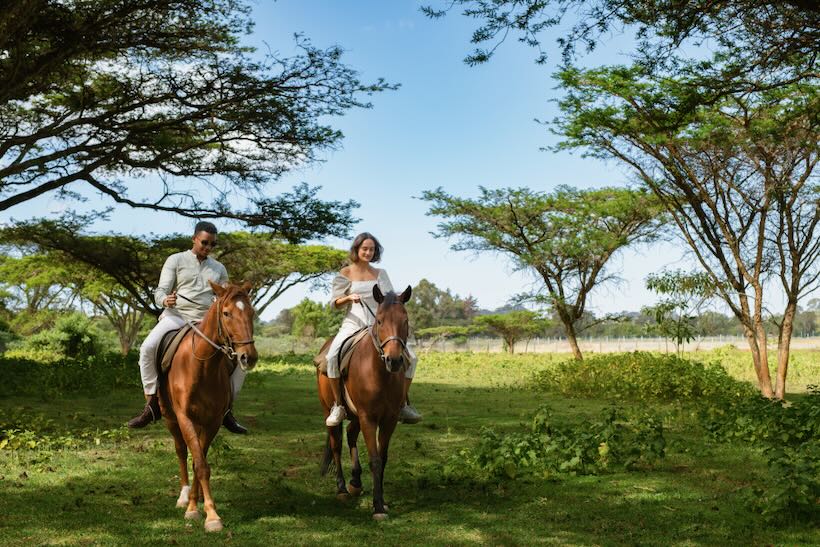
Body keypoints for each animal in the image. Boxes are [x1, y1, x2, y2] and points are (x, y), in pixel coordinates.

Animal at [159, 280, 258, 532]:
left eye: (251, 312)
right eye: (226, 313)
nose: (248, 357)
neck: (201, 366)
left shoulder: (212, 421)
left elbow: (200, 463)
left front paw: (200, 508)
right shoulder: (184, 418)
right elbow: (199, 464)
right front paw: (207, 514)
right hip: (170, 418)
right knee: (180, 450)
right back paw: (183, 496)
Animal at [318, 284, 414, 520]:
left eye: (405, 320)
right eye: (379, 320)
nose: (394, 360)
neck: (379, 373)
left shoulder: (389, 419)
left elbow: (383, 457)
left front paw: (382, 502)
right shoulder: (369, 418)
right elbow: (375, 459)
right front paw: (378, 506)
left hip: (355, 416)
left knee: (351, 434)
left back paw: (355, 481)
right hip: (331, 411)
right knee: (336, 444)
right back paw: (342, 489)